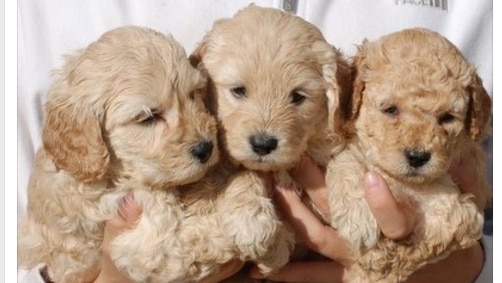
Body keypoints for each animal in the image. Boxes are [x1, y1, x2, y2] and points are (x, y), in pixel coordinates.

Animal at [18, 25, 224, 282]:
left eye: (193, 94)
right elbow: (196, 242)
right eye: (148, 117)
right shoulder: (144, 240)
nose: (206, 148)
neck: (114, 174)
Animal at [326, 27, 490, 282]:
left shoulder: (459, 210)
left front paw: (377, 265)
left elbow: (426, 243)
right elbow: (346, 160)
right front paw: (357, 219)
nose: (417, 157)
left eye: (447, 118)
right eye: (390, 110)